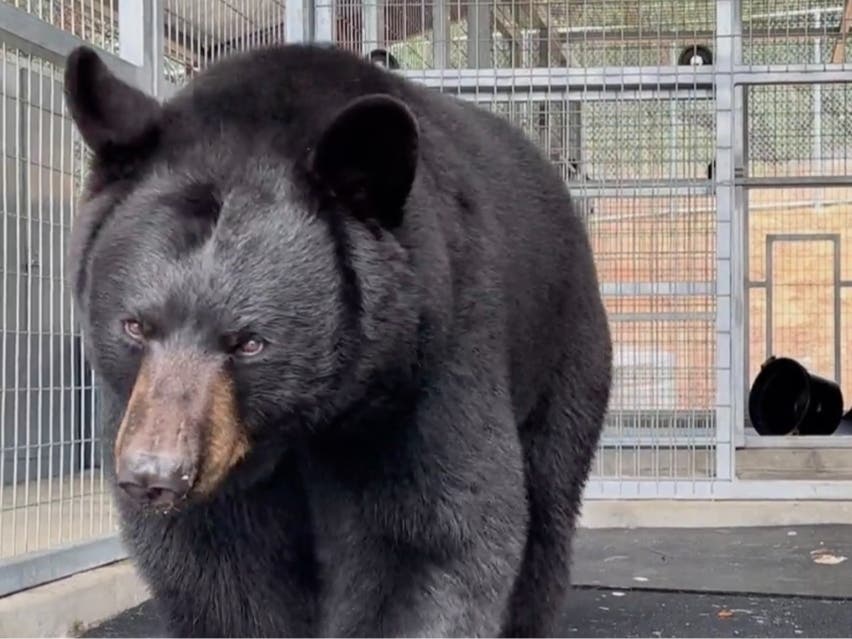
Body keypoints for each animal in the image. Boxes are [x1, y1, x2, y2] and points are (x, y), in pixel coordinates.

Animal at [64, 42, 612, 638]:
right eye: (134, 326)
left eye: (249, 343)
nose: (154, 475)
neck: (298, 425)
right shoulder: (149, 413)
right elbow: (215, 563)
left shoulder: (425, 362)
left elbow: (428, 535)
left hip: (563, 348)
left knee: (548, 501)